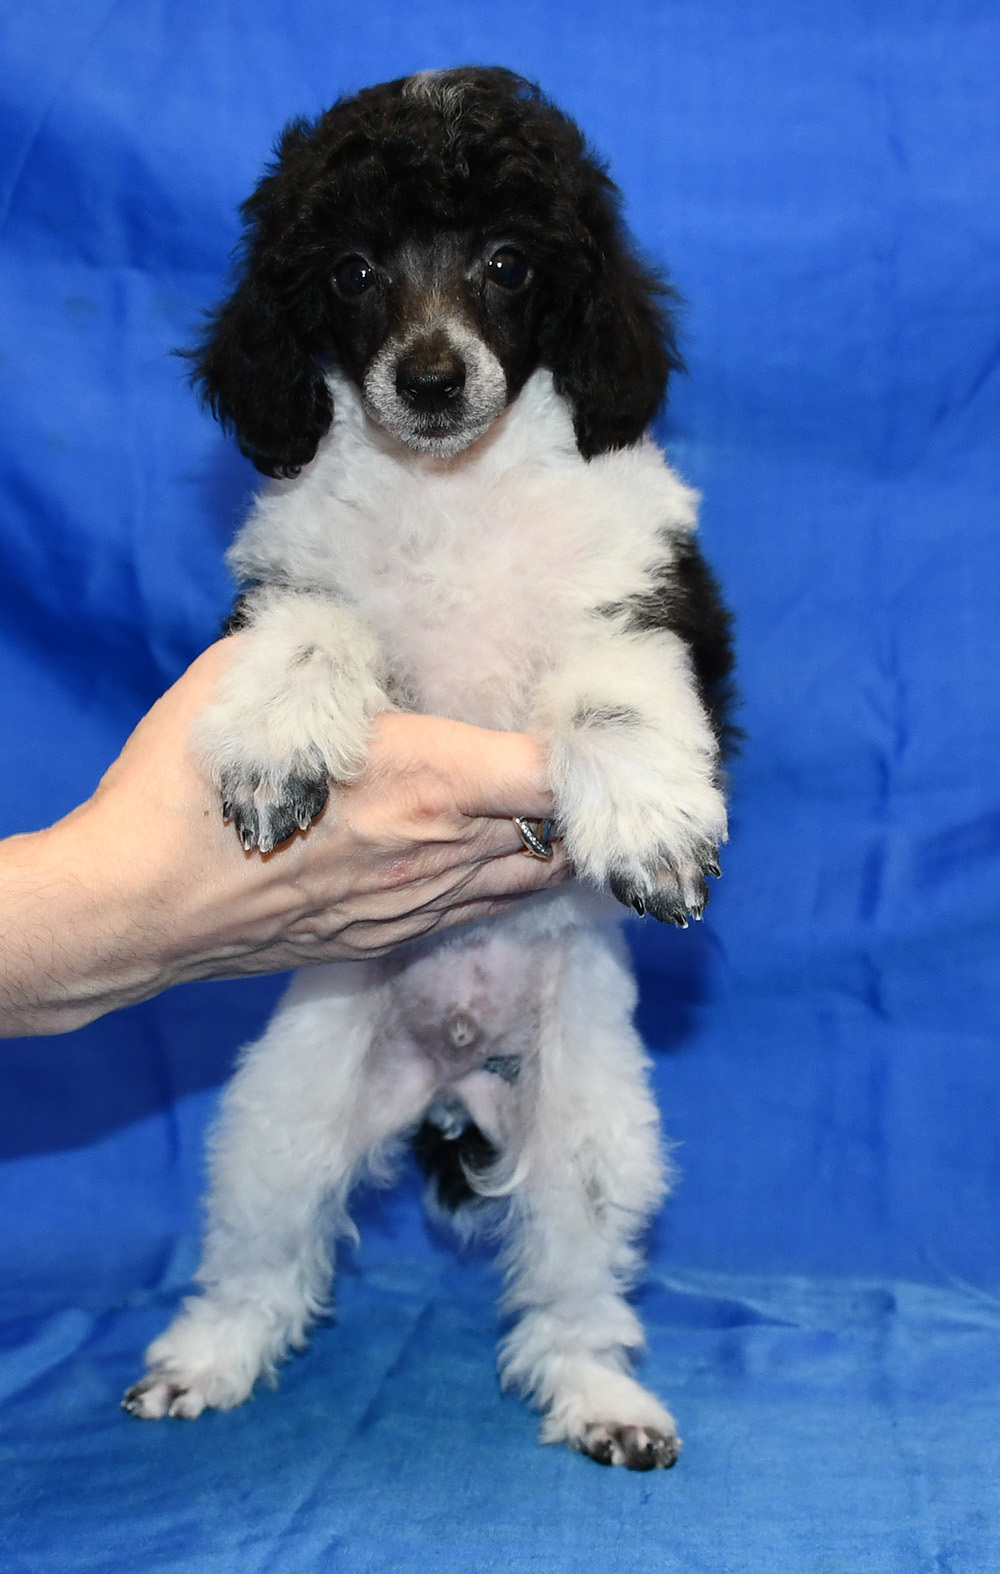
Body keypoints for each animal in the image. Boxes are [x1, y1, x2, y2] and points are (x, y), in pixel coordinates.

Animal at [123, 66, 735, 1471]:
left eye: (508, 262)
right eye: (350, 271)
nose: (434, 377)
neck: (453, 490)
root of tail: (454, 1073)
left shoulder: (658, 609)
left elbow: (611, 685)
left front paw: (648, 824)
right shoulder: (278, 590)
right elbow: (316, 626)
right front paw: (282, 742)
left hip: (594, 1134)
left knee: (570, 1284)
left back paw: (601, 1396)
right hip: (290, 1107)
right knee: (264, 1253)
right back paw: (207, 1358)